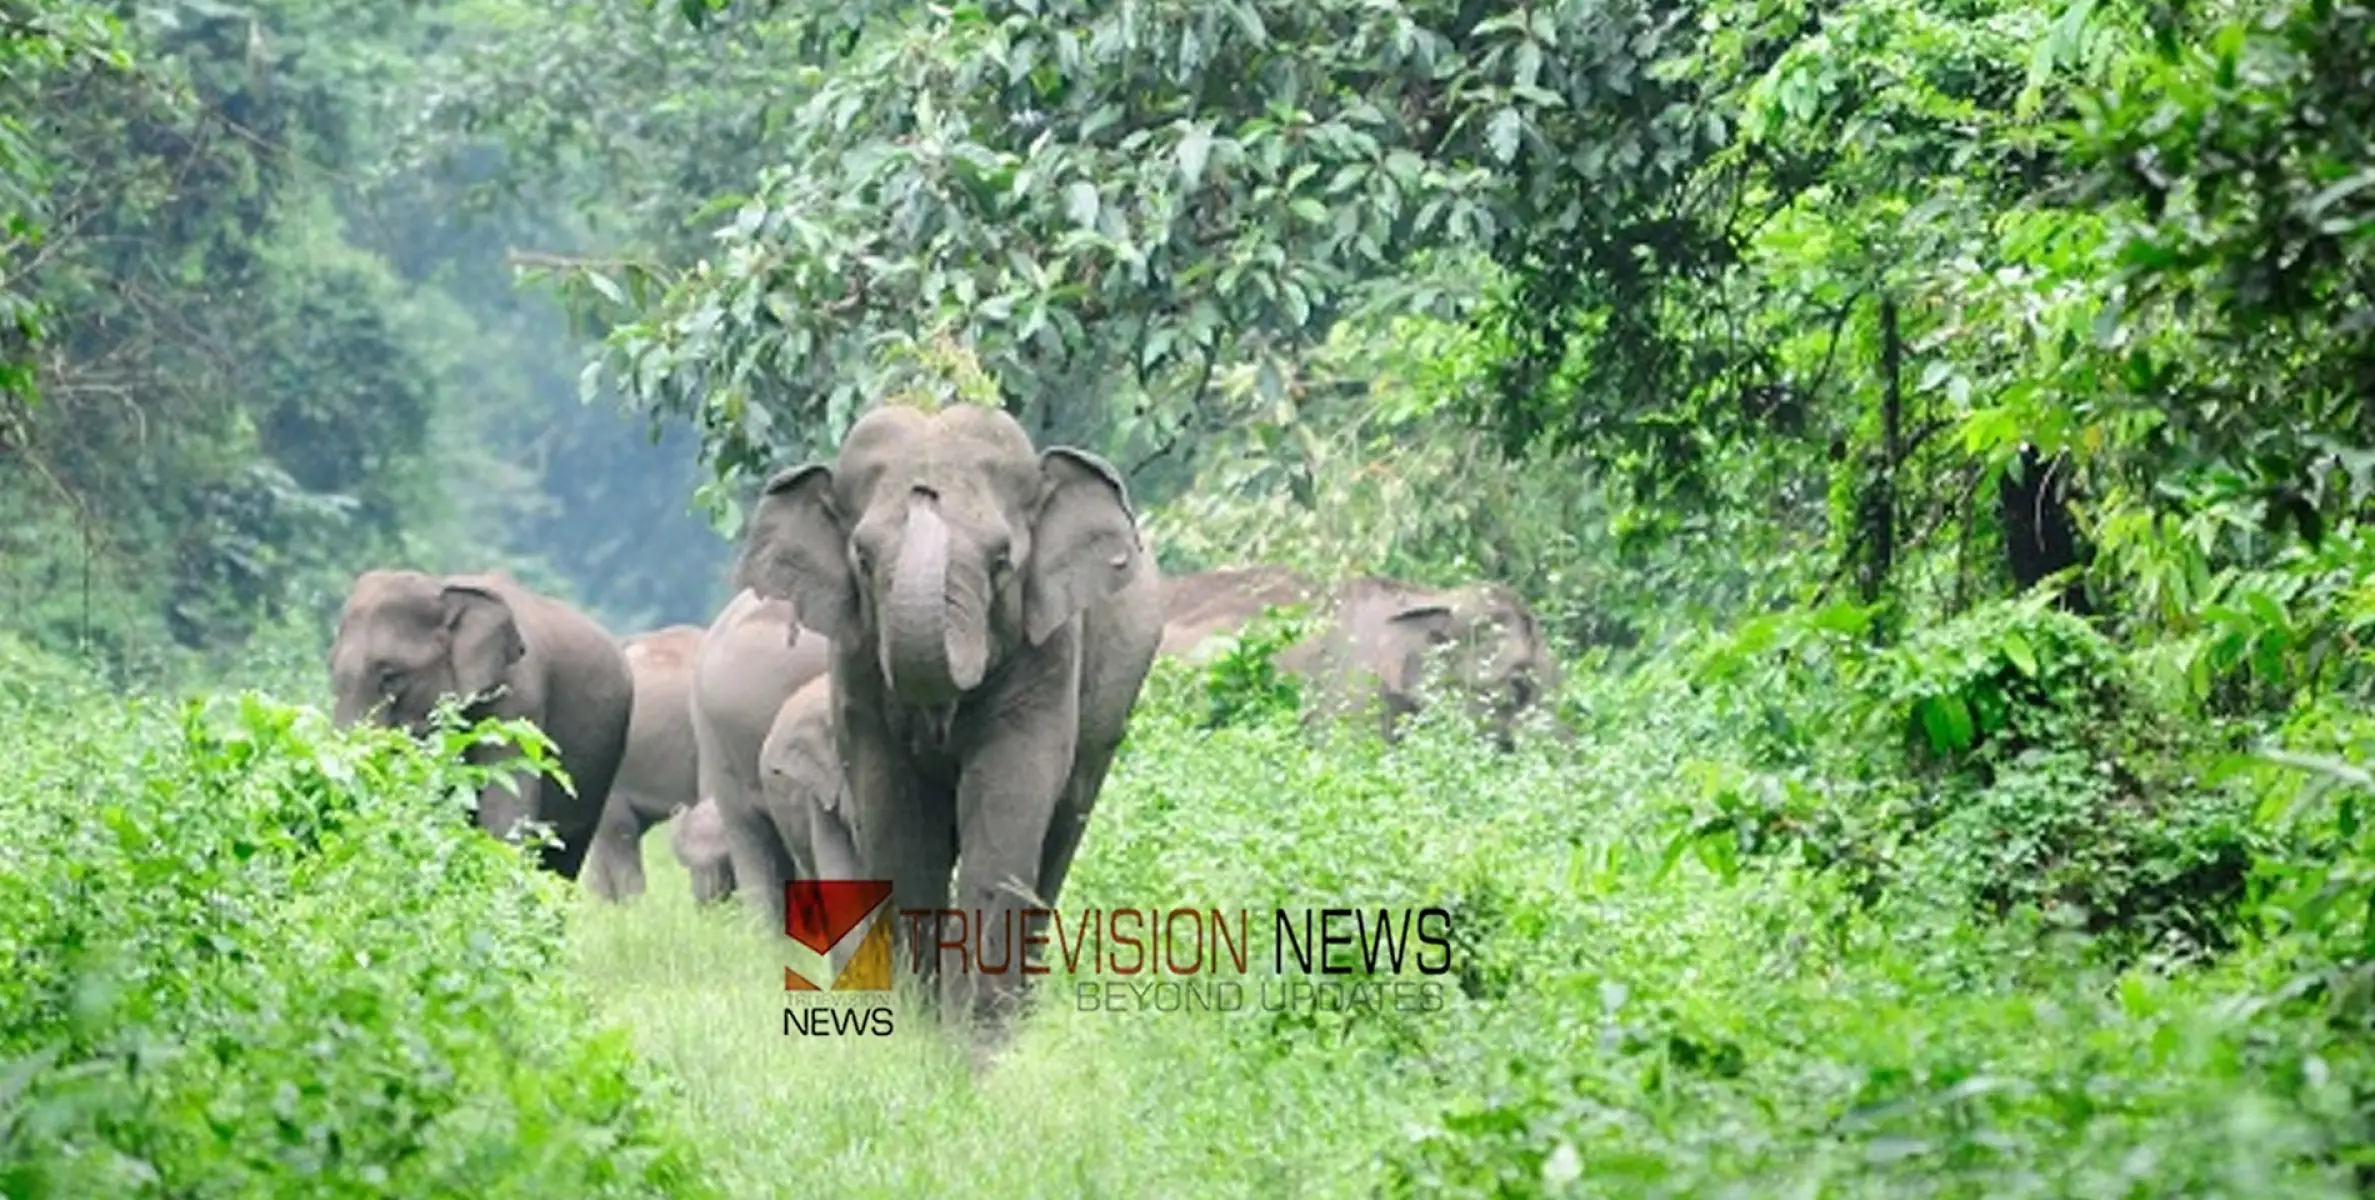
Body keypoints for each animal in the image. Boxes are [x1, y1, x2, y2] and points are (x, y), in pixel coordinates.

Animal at [731, 401, 1159, 1031]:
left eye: (1003, 560)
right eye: (862, 558)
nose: (925, 491)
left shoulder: (1051, 649)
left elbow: (1007, 804)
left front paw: (978, 1037)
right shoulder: (856, 666)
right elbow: (897, 815)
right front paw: (918, 1028)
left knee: (1059, 834)